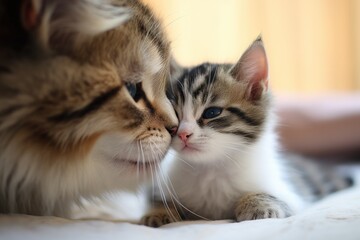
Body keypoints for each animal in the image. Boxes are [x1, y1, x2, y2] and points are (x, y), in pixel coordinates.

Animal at [141, 37, 304, 227]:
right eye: (172, 113)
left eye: (212, 113)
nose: (183, 134)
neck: (211, 170)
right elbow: (158, 199)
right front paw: (159, 212)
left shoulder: (294, 195)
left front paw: (257, 205)